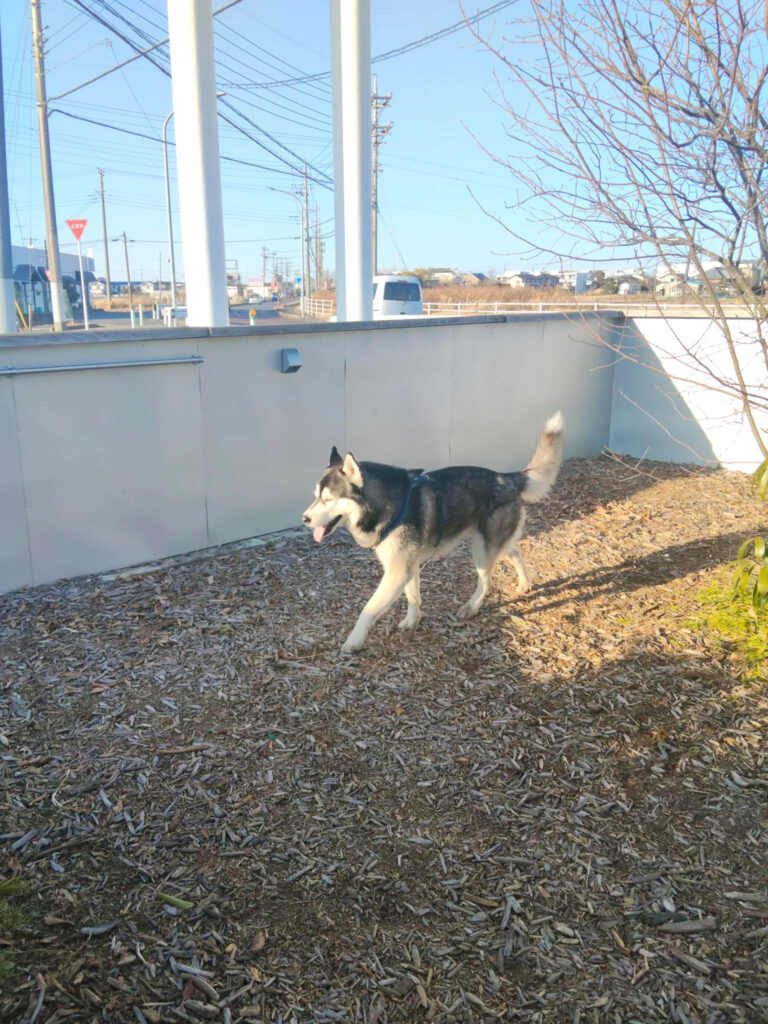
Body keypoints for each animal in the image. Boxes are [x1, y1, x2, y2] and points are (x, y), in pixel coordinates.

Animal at [302, 412, 563, 654]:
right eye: (315, 496)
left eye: (328, 499)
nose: (304, 519)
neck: (389, 505)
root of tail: (508, 477)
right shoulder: (409, 567)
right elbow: (413, 597)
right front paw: (412, 621)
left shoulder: (397, 571)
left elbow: (368, 609)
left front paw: (354, 641)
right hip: (491, 543)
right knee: (515, 552)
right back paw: (525, 583)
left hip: (481, 550)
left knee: (486, 582)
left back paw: (471, 607)